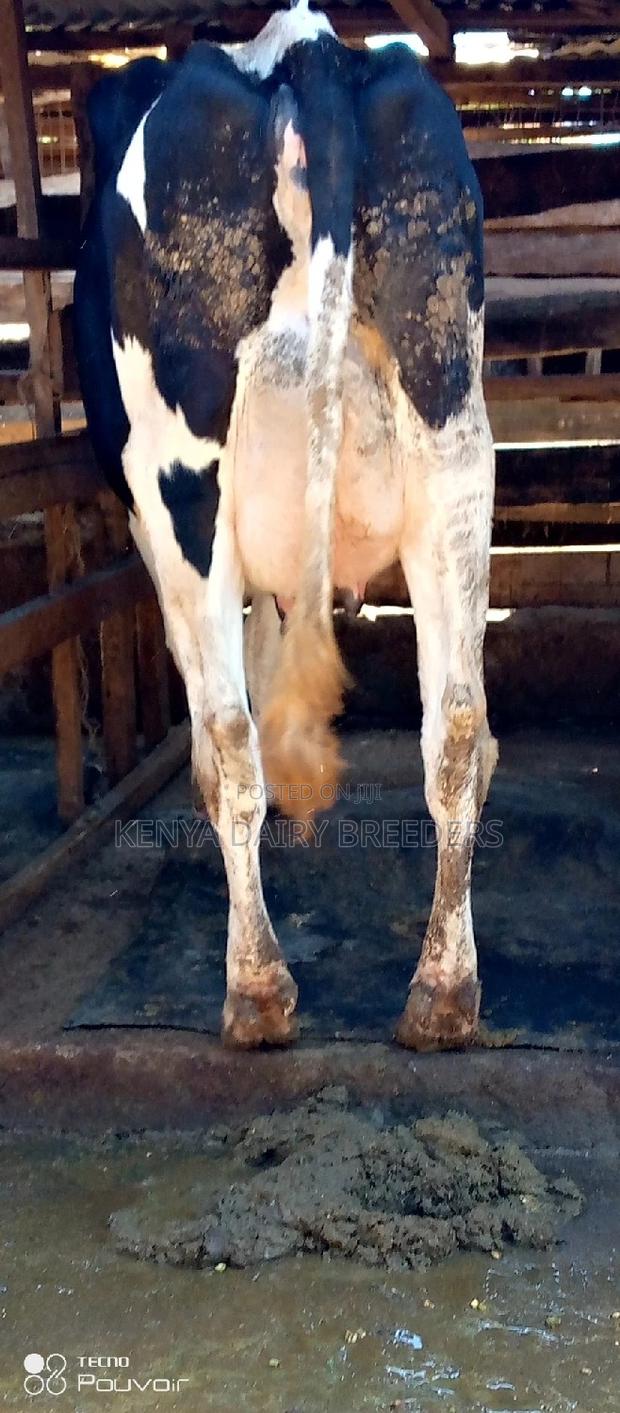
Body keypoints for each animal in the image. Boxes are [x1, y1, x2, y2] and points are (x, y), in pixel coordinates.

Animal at [74, 0, 497, 1052]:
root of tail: (305, 46)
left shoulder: (156, 523)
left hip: (183, 482)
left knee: (231, 736)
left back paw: (257, 992)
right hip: (456, 441)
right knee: (455, 722)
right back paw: (442, 995)